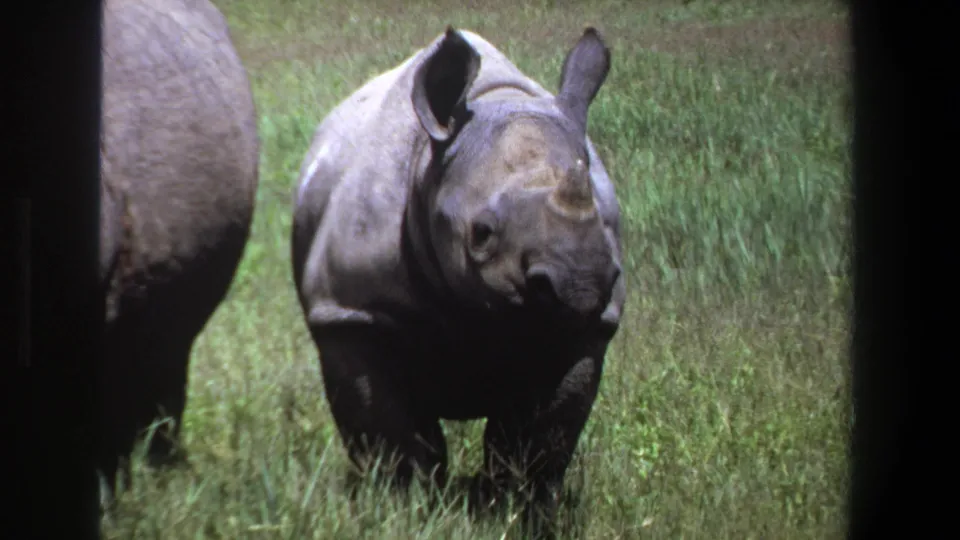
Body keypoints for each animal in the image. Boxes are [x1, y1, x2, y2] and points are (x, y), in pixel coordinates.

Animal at [291, 26, 625, 533]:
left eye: (604, 222)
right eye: (481, 233)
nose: (581, 284)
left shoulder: (584, 329)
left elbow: (537, 443)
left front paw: (517, 516)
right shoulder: (353, 312)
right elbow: (390, 435)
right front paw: (404, 513)